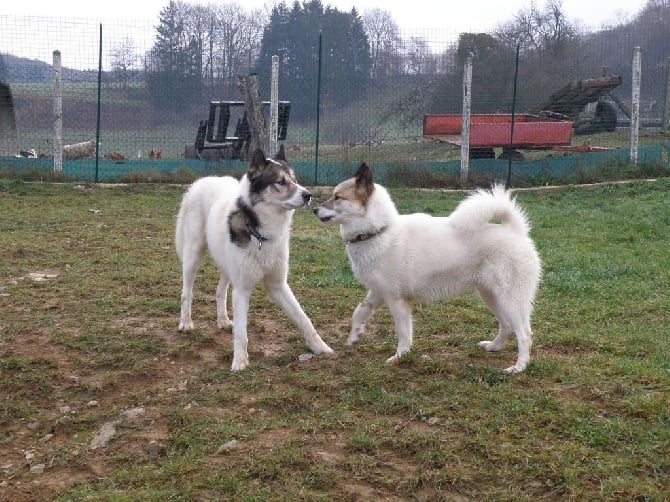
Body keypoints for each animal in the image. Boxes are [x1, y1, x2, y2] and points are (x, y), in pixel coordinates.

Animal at [177, 145, 334, 368]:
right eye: (281, 181)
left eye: (294, 179)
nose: (308, 195)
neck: (261, 234)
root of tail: (200, 183)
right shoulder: (242, 290)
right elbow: (241, 333)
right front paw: (240, 362)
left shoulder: (278, 285)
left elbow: (303, 318)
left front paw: (319, 347)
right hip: (193, 255)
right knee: (187, 292)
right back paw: (186, 322)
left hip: (227, 264)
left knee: (220, 291)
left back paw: (222, 320)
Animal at [318, 165, 544, 372]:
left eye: (337, 197)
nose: (314, 208)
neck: (379, 231)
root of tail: (515, 231)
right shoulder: (378, 293)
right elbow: (360, 311)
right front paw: (354, 336)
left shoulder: (396, 300)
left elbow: (403, 334)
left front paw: (399, 357)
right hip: (490, 296)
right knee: (506, 325)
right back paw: (494, 347)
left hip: (510, 300)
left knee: (524, 334)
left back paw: (519, 367)